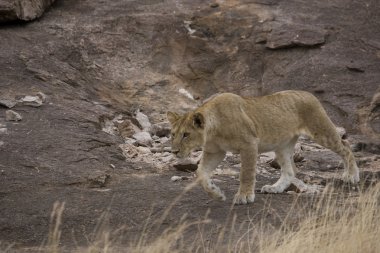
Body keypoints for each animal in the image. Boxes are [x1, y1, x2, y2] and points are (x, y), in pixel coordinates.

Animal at [168, 90, 360, 205]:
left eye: (186, 135)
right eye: (173, 134)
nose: (174, 151)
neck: (213, 130)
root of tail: (309, 93)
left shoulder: (249, 144)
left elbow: (246, 173)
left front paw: (244, 196)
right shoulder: (215, 151)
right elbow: (200, 173)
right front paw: (216, 193)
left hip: (321, 130)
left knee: (345, 146)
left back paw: (351, 175)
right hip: (282, 145)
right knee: (290, 171)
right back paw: (275, 188)